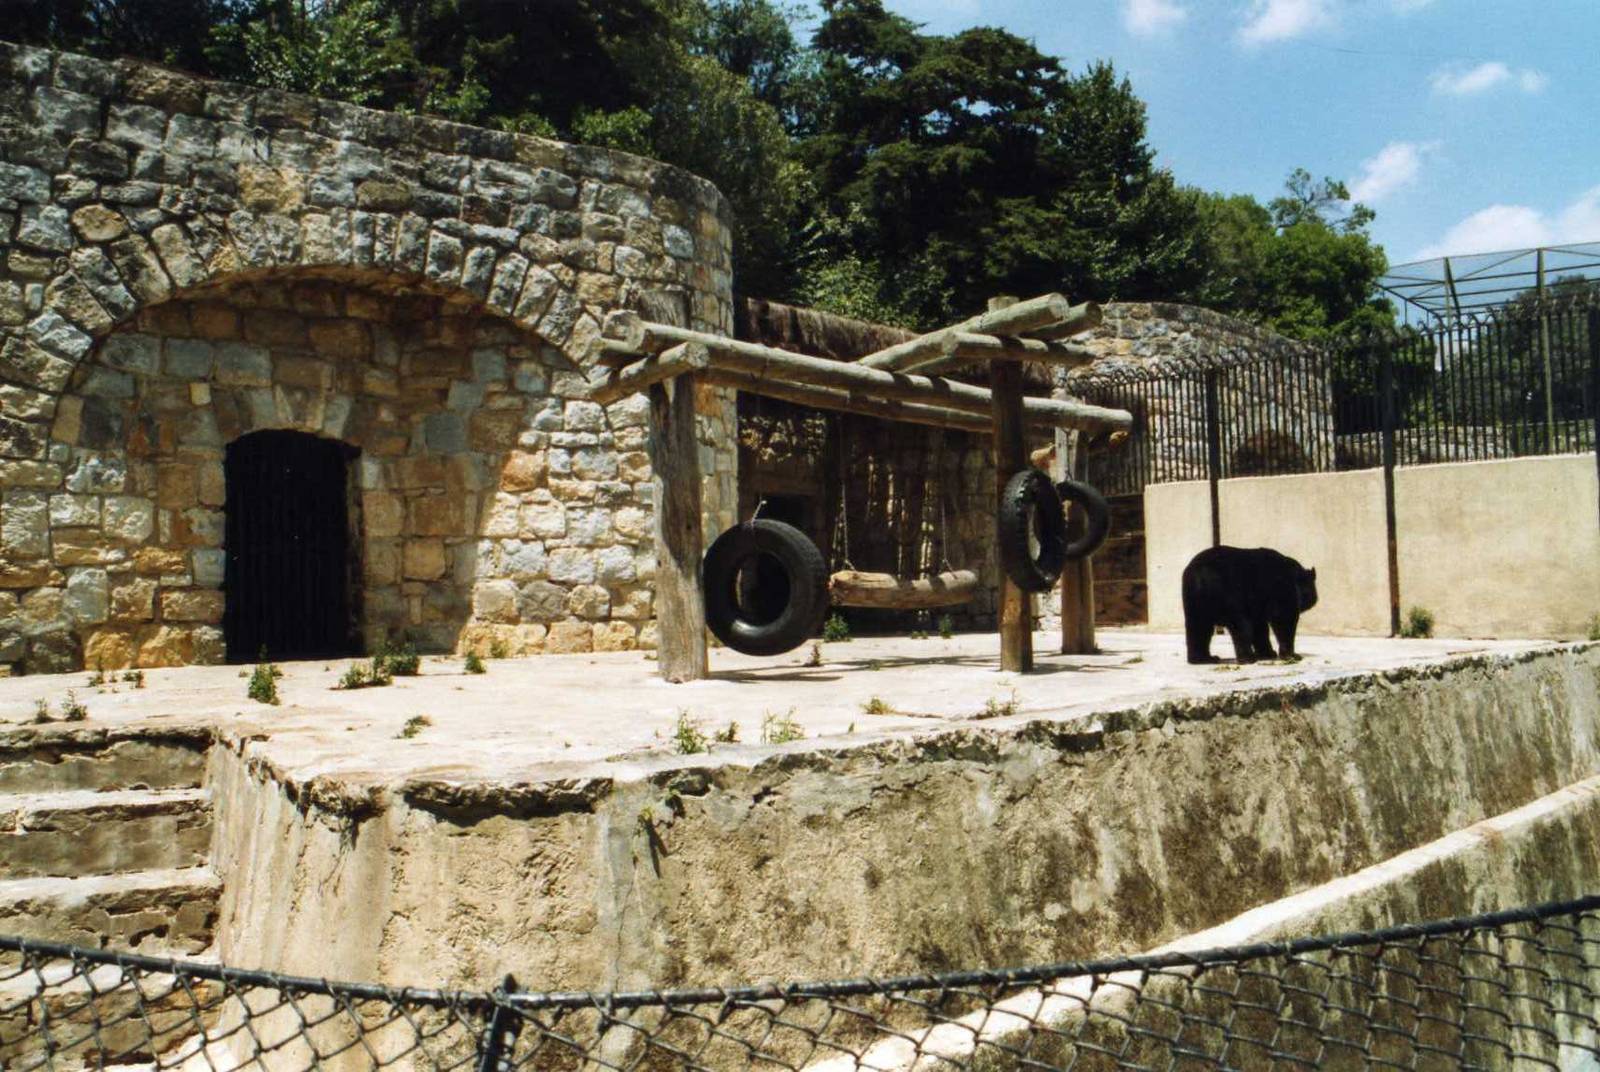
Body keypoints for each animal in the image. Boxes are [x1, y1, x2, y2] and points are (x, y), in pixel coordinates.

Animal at [1182, 546, 1317, 664]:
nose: (1312, 601)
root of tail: (1201, 576)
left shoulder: (1257, 603)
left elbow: (1260, 627)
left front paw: (1268, 653)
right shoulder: (1280, 587)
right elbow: (1284, 619)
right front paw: (1292, 655)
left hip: (1195, 599)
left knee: (1198, 627)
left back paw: (1204, 658)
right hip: (1230, 594)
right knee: (1241, 626)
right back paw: (1247, 658)